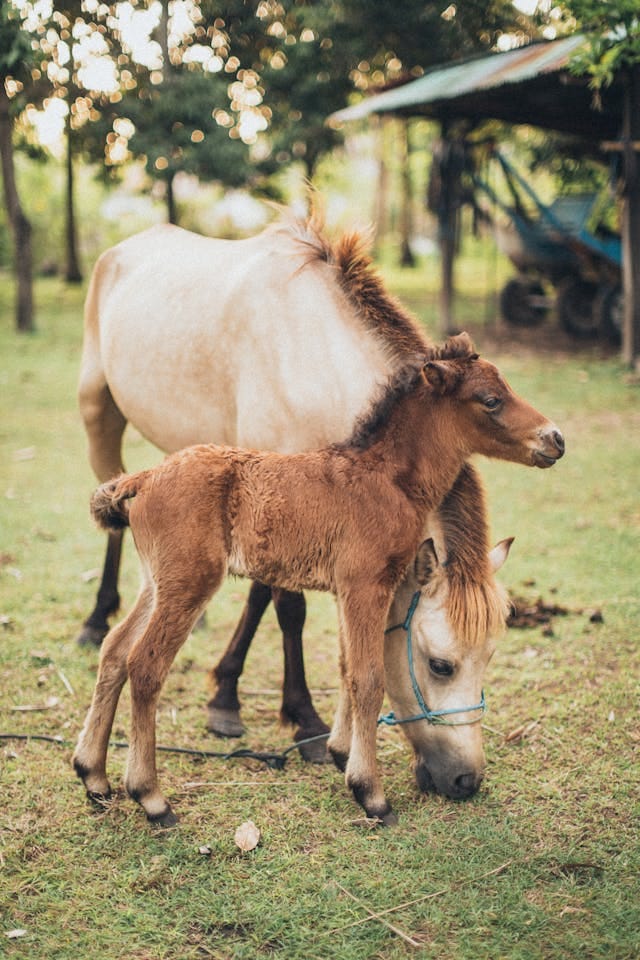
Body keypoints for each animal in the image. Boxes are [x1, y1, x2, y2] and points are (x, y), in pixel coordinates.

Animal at [73, 334, 563, 827]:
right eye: (491, 400)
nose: (554, 439)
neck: (387, 478)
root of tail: (145, 476)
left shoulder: (350, 590)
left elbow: (347, 666)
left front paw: (342, 755)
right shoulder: (367, 583)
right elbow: (368, 677)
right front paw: (371, 794)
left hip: (156, 582)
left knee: (114, 650)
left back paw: (93, 775)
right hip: (190, 583)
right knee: (145, 665)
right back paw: (151, 797)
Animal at [76, 212, 564, 764]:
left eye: (490, 654)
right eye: (440, 663)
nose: (554, 439)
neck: (312, 356)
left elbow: (263, 594)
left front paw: (228, 695)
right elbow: (290, 608)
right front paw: (302, 719)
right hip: (99, 415)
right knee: (113, 521)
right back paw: (96, 619)